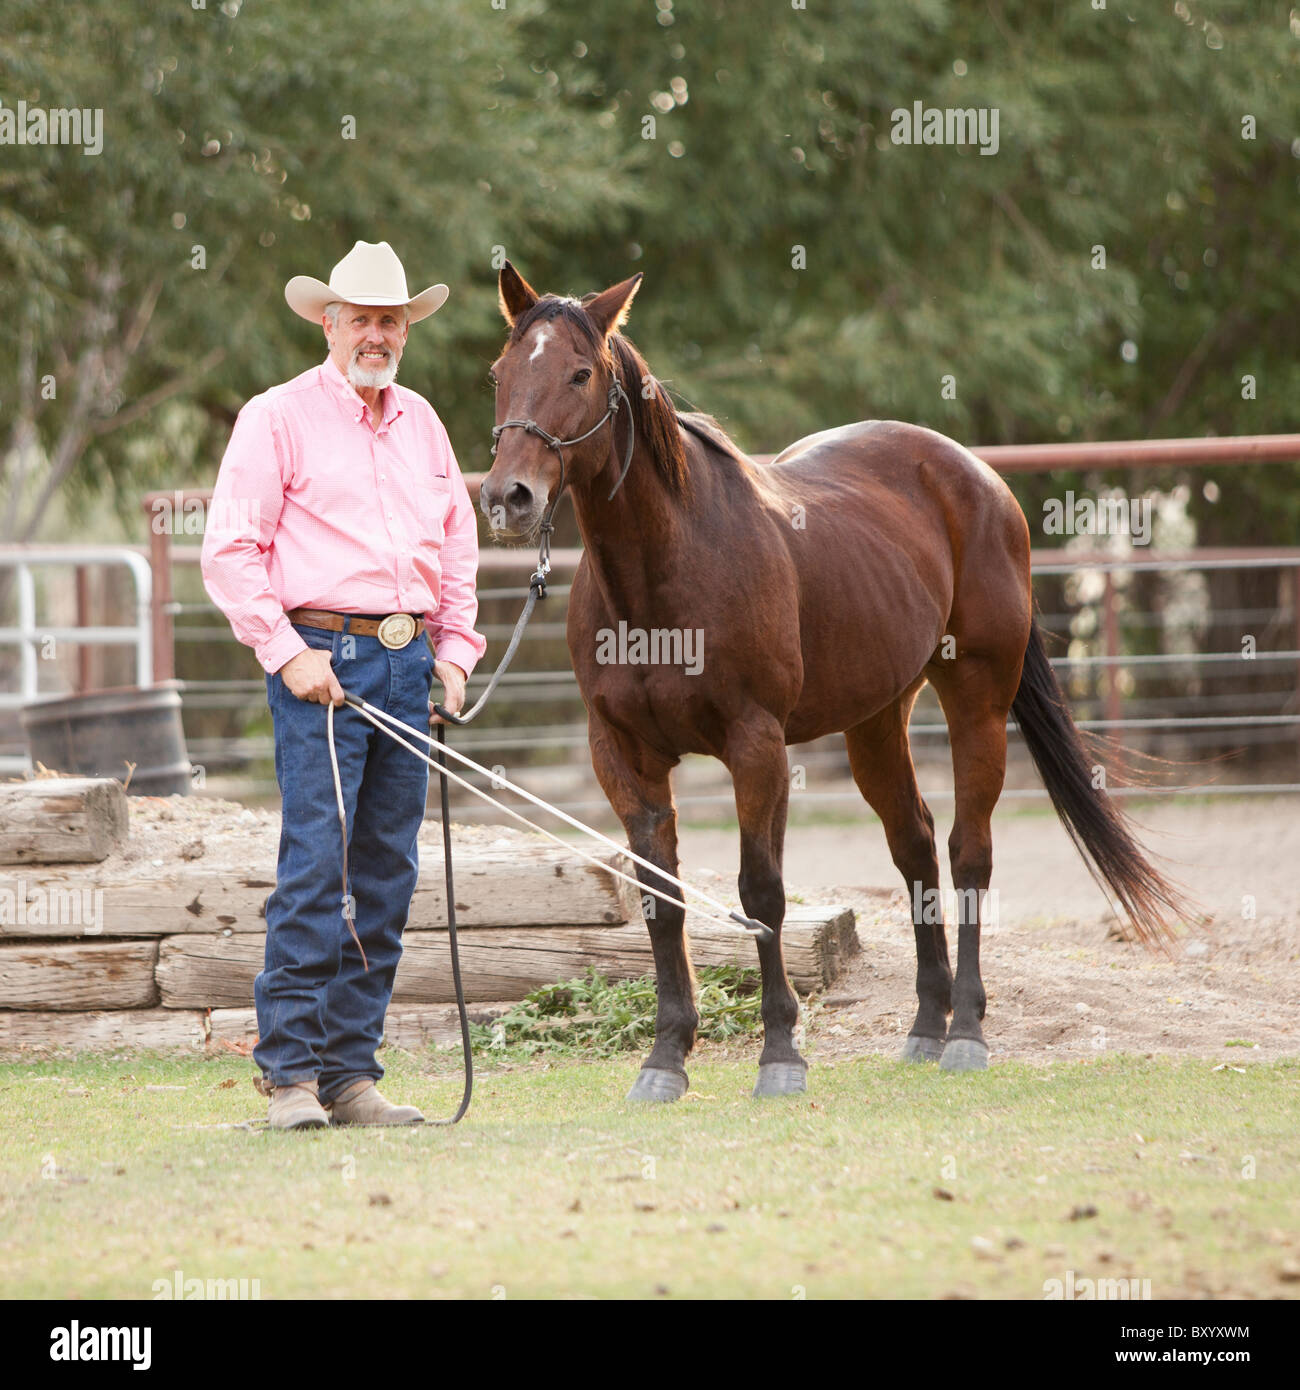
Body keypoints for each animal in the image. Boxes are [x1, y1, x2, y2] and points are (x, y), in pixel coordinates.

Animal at [481, 265, 1190, 1100]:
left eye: (579, 374)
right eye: (499, 374)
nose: (508, 497)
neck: (664, 570)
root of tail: (977, 476)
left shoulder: (755, 745)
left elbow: (761, 892)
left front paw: (781, 1054)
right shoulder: (622, 754)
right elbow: (662, 899)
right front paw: (665, 1059)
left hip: (978, 702)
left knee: (967, 851)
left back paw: (965, 1032)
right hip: (875, 720)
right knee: (915, 844)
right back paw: (926, 1027)